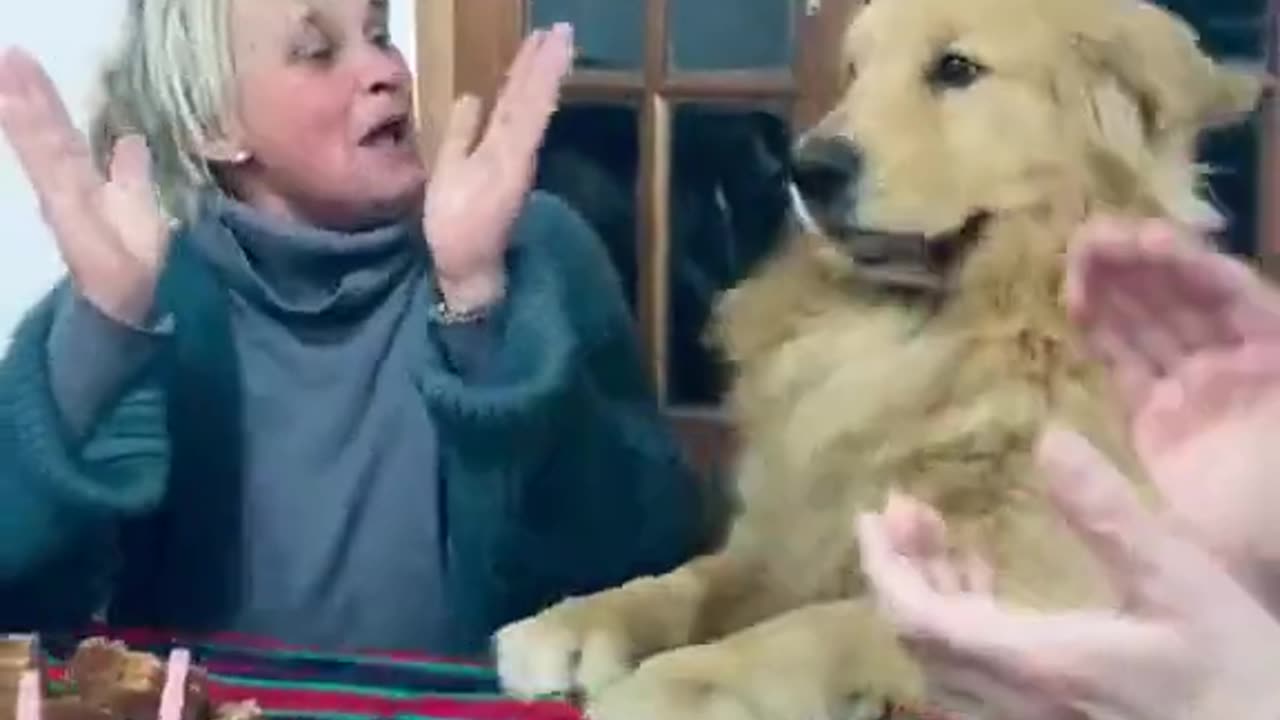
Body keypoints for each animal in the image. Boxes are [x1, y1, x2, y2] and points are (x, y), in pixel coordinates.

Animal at [496, 0, 1259, 712]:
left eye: (956, 68)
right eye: (855, 73)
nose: (806, 168)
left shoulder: (1037, 576)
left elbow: (814, 626)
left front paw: (682, 680)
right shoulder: (795, 525)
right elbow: (692, 579)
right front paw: (575, 623)